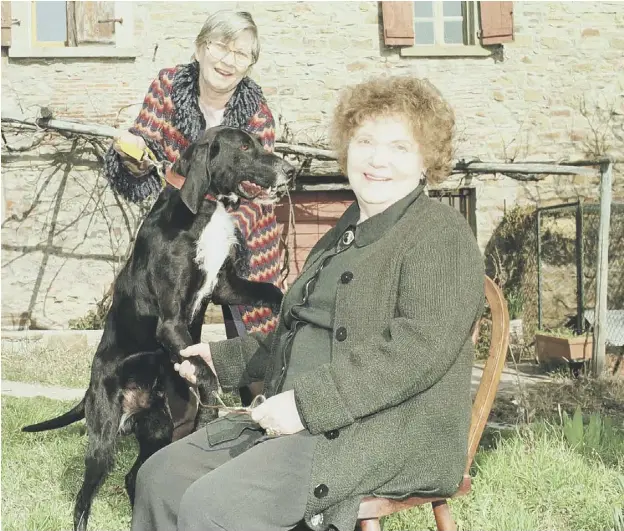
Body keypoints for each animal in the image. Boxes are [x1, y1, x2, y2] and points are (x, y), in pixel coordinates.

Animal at [22, 125, 294, 531]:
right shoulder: (170, 323)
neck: (204, 209)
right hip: (103, 437)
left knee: (135, 475)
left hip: (161, 430)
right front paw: (211, 415)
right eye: (245, 147)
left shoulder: (225, 286)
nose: (290, 170)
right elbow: (208, 375)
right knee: (84, 494)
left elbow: (270, 290)